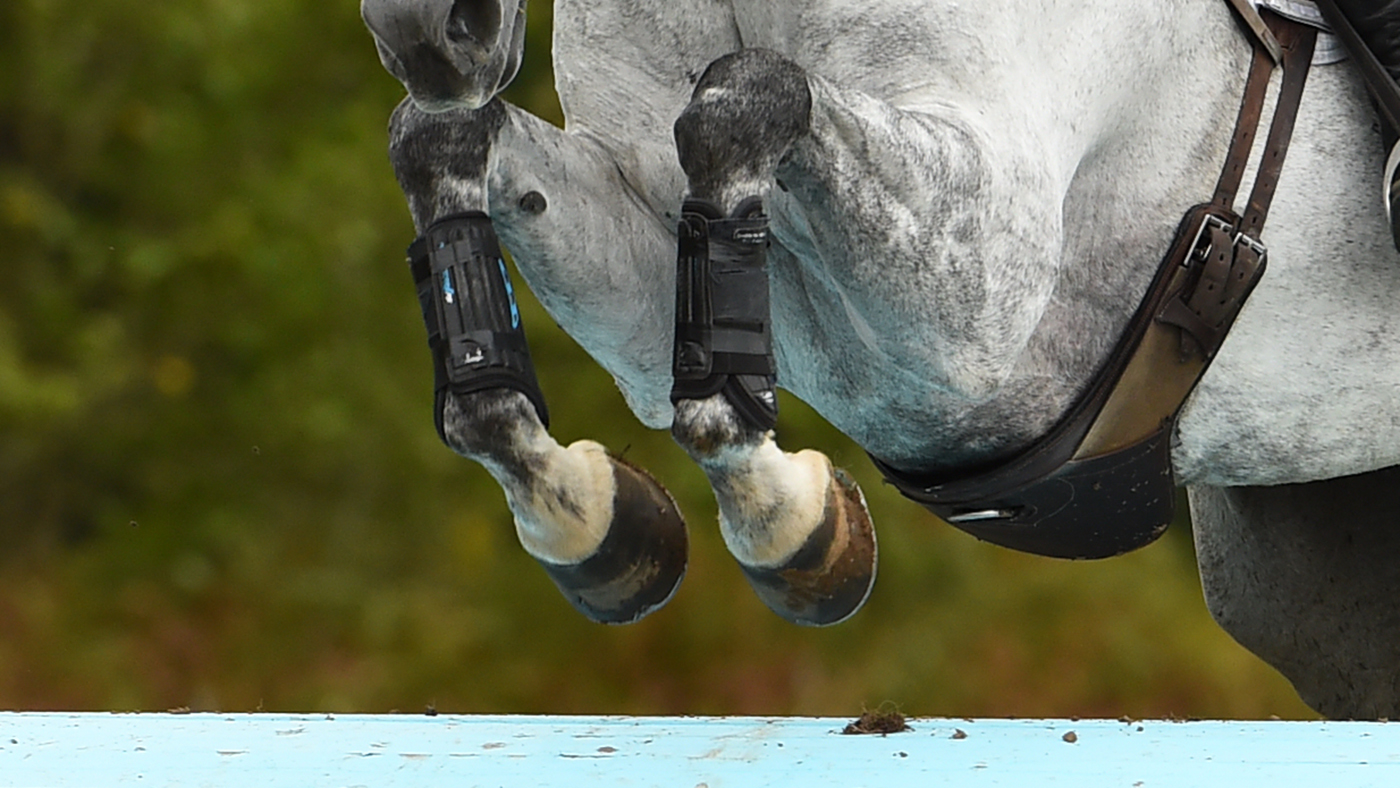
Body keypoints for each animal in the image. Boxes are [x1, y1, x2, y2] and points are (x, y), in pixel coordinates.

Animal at [360, 0, 1400, 718]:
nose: (436, 33)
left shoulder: (977, 295)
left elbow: (739, 102)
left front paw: (792, 521)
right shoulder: (670, 285)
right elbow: (439, 140)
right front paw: (590, 517)